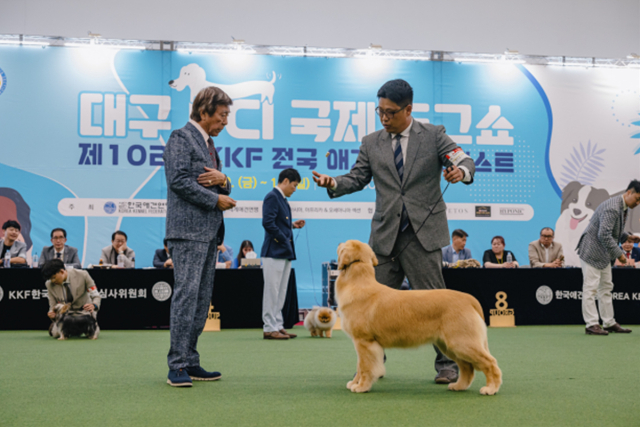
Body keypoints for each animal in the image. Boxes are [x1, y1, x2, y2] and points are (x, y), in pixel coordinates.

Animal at [336, 239, 500, 396]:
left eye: (344, 244)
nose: (339, 243)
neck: (359, 283)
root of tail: (469, 299)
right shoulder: (361, 343)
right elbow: (360, 365)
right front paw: (355, 383)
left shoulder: (364, 341)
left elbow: (365, 367)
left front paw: (362, 386)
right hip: (450, 345)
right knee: (467, 367)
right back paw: (459, 386)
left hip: (462, 342)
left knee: (490, 362)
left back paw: (491, 388)